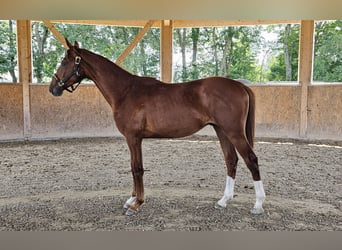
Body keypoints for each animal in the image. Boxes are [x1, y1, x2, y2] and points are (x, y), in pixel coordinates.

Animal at [49, 38, 266, 215]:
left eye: (64, 62)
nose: (52, 88)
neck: (126, 91)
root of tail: (240, 85)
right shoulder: (133, 139)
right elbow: (133, 167)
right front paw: (131, 199)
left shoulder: (133, 138)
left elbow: (137, 169)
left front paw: (137, 204)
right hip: (222, 131)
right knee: (231, 161)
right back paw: (223, 201)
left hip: (234, 132)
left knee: (251, 160)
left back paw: (258, 205)